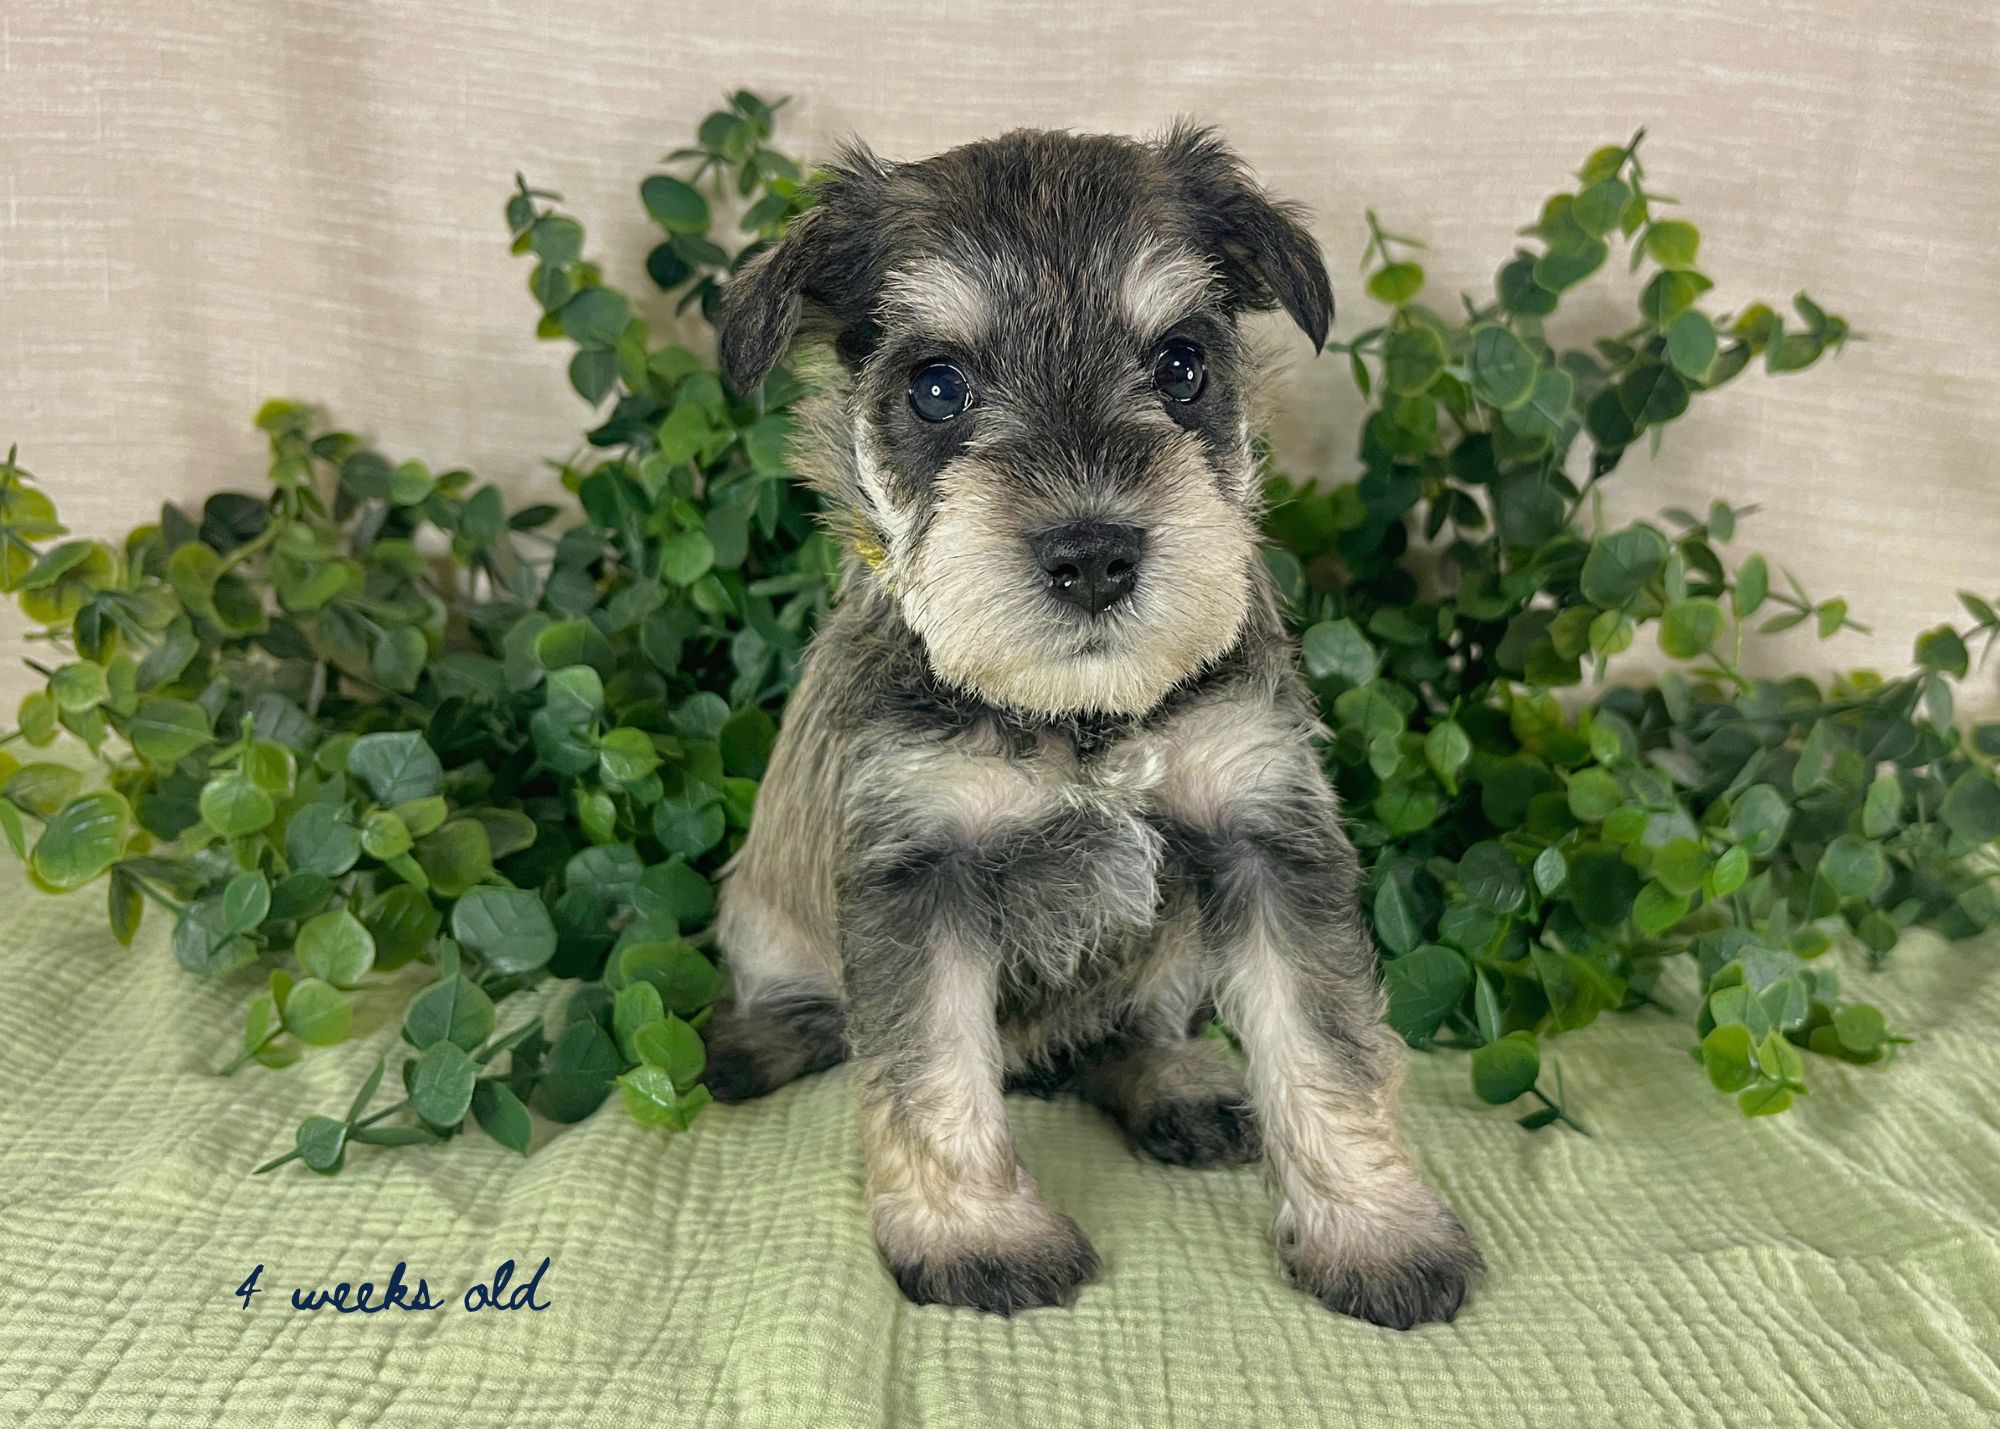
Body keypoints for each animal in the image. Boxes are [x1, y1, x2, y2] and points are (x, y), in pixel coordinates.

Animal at [700, 124, 1482, 1329]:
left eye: (1181, 365)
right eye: (937, 386)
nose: (1094, 557)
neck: (1084, 720)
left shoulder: (1265, 834)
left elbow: (1324, 1042)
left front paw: (1377, 1231)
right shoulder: (917, 873)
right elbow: (930, 1069)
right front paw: (976, 1237)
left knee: (1129, 1031)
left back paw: (1179, 1088)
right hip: (765, 924)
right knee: (820, 1014)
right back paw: (755, 1044)